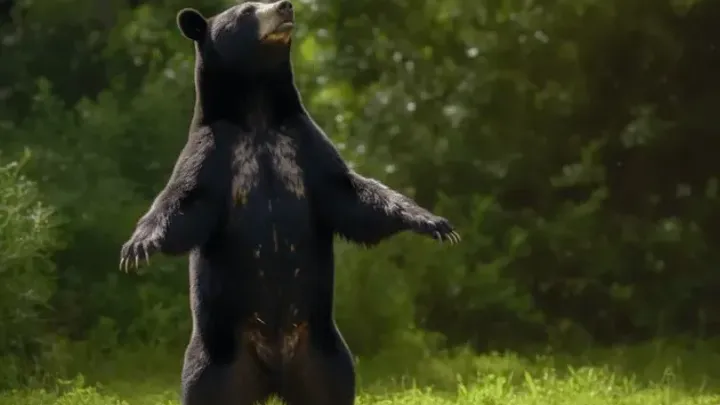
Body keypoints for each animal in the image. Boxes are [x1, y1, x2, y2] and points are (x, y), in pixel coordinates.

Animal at [118, 1, 460, 405]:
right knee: (206, 390)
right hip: (217, 359)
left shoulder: (303, 144)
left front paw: (435, 223)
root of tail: (274, 376)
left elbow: (353, 196)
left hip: (324, 356)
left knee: (333, 390)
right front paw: (138, 246)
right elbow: (183, 203)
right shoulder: (213, 152)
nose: (285, 6)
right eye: (246, 11)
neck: (258, 111)